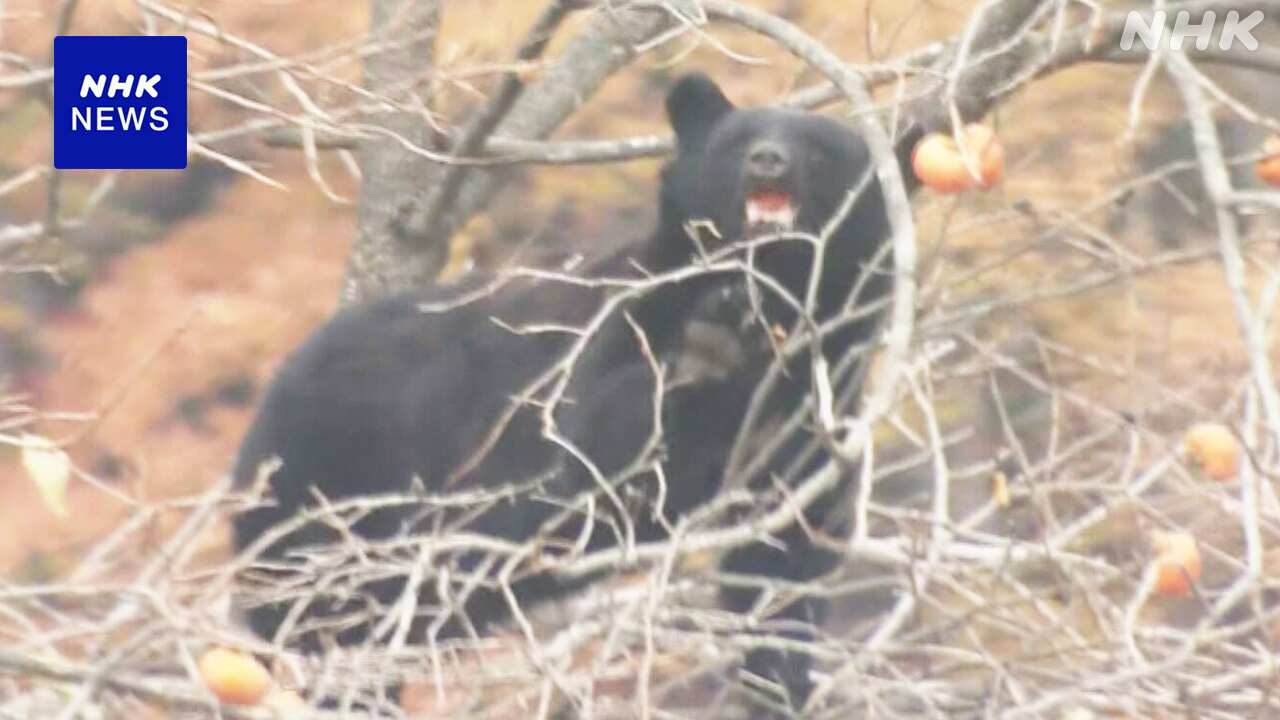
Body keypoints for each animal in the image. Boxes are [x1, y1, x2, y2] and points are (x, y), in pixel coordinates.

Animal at [231, 72, 923, 716]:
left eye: (818, 151)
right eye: (738, 141)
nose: (769, 160)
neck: (771, 300)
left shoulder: (824, 401)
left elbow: (785, 548)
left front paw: (781, 675)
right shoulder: (618, 326)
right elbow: (594, 452)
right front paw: (706, 354)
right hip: (328, 484)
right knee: (323, 613)